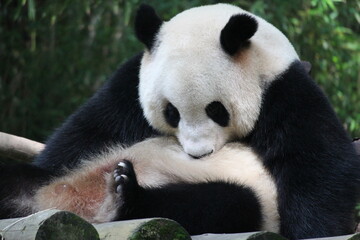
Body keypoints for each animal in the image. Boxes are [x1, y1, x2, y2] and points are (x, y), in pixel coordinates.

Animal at [0, 3, 358, 240]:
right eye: (171, 112)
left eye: (217, 110)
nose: (198, 155)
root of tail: (68, 202)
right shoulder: (128, 86)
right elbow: (87, 133)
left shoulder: (282, 88)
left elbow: (317, 160)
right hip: (47, 184)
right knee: (20, 180)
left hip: (250, 202)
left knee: (222, 203)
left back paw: (126, 197)